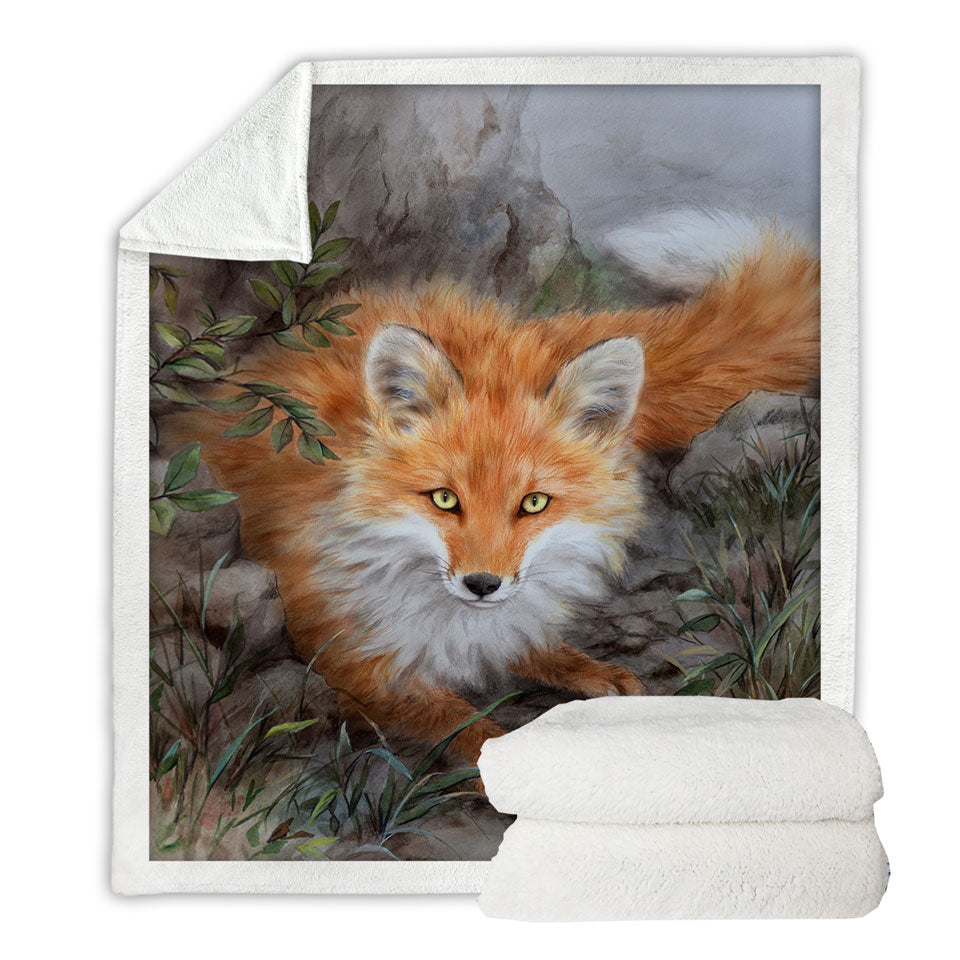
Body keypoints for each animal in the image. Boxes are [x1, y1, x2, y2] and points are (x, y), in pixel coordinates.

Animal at [166, 221, 819, 764]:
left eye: (533, 503)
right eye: (443, 499)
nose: (483, 584)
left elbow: (526, 643)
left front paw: (580, 668)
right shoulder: (350, 659)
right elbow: (465, 727)